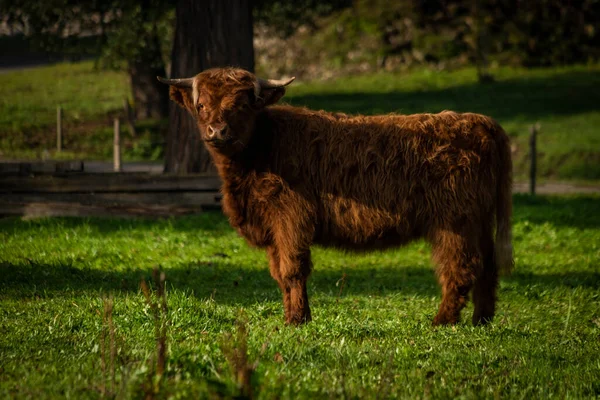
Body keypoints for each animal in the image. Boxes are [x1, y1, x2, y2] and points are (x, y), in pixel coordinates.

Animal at [157, 67, 512, 326]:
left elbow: (293, 269)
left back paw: (442, 320)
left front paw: (298, 320)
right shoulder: (272, 227)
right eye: (201, 106)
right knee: (488, 266)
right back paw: (481, 319)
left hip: (455, 221)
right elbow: (279, 272)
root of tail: (479, 121)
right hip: (479, 220)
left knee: (462, 267)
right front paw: (291, 316)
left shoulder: (291, 216)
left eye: (241, 105)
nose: (217, 132)